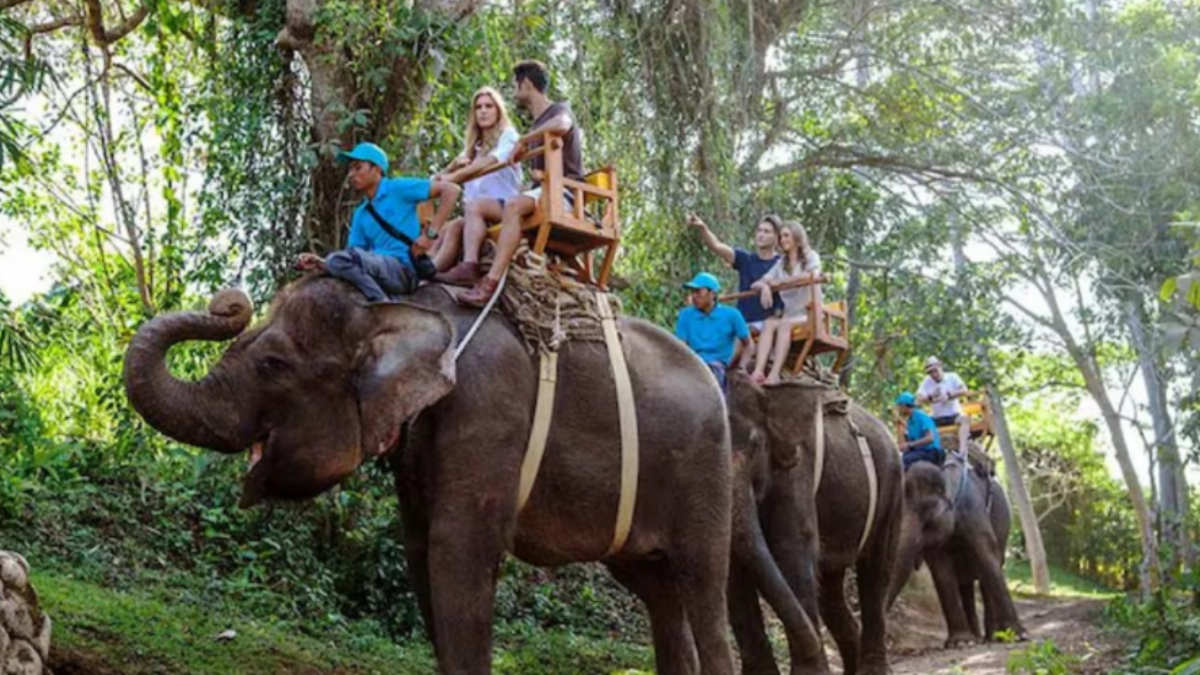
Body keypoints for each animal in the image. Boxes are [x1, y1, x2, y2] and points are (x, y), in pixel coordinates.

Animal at [123, 277, 739, 675]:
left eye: (273, 365)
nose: (229, 303)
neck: (401, 309)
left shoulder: (490, 410)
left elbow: (457, 553)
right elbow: (421, 554)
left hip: (706, 471)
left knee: (705, 586)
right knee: (659, 591)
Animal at [726, 374, 904, 675]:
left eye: (754, 445)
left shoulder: (797, 468)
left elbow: (792, 550)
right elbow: (731, 570)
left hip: (891, 487)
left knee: (876, 572)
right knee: (830, 592)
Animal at [886, 456, 1028, 647]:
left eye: (927, 522)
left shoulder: (973, 511)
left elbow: (988, 556)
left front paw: (1019, 636)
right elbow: (941, 571)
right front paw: (959, 643)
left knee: (985, 577)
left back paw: (992, 637)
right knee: (965, 584)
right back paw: (975, 638)